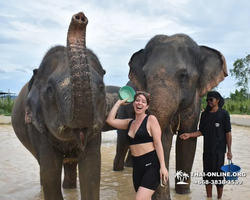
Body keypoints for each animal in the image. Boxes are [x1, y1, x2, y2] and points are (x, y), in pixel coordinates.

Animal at [11, 12, 105, 200]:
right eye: (49, 90)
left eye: (101, 88)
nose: (80, 17)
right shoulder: (37, 127)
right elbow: (50, 173)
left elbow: (91, 172)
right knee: (43, 168)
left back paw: (69, 188)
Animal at [114, 33, 228, 199]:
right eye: (144, 75)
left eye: (183, 75)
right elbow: (163, 138)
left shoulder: (195, 103)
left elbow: (187, 142)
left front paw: (184, 193)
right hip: (123, 111)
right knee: (123, 140)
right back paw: (118, 171)